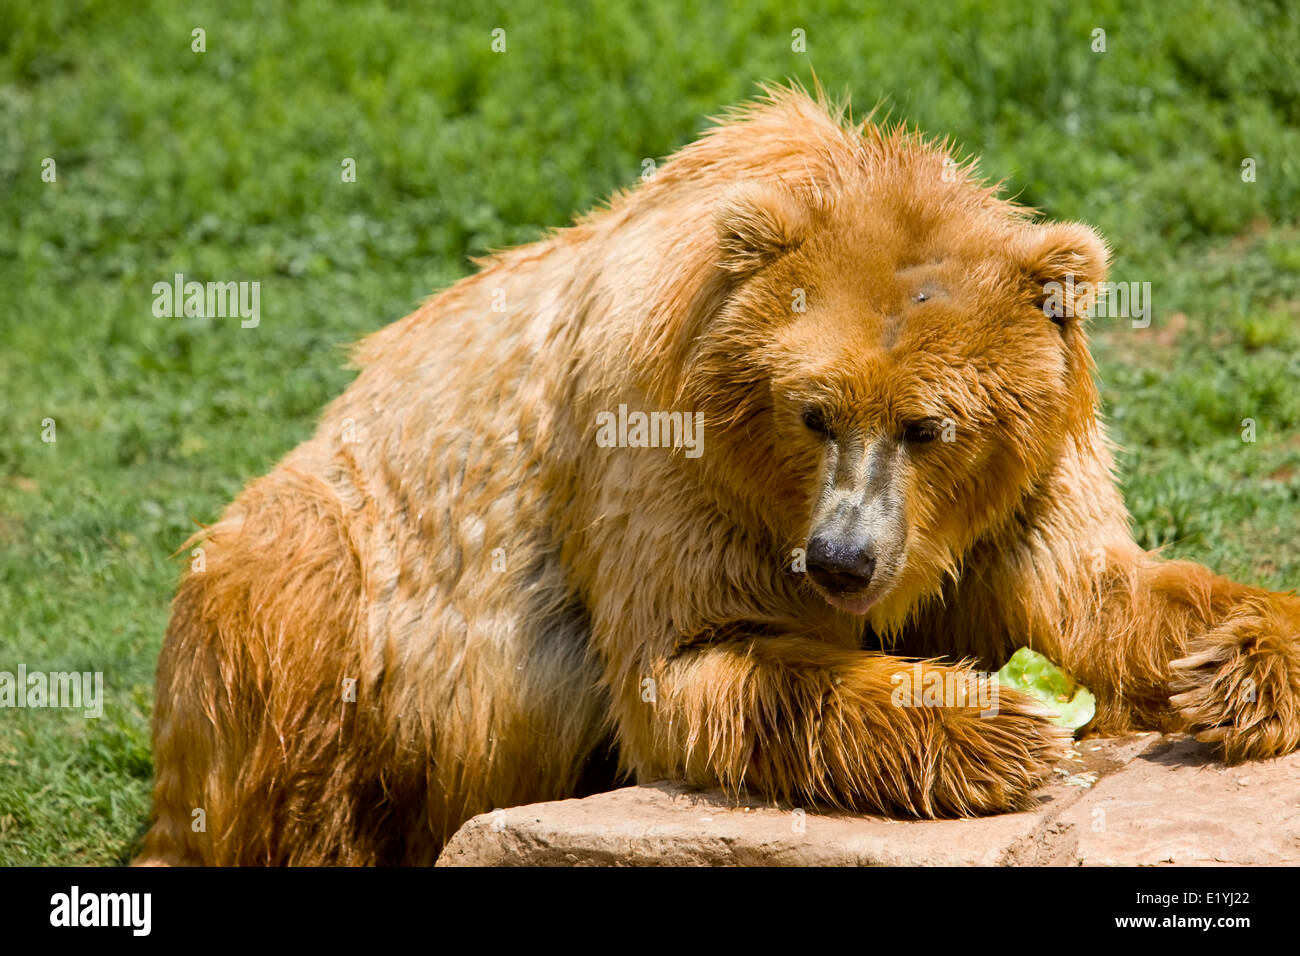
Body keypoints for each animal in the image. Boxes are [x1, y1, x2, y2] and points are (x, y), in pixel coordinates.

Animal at [137, 85, 1300, 868]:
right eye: (813, 411)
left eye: (929, 425)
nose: (841, 559)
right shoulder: (665, 443)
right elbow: (700, 654)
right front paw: (994, 724)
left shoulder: (1024, 481)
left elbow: (1090, 591)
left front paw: (1239, 665)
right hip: (333, 563)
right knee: (285, 628)